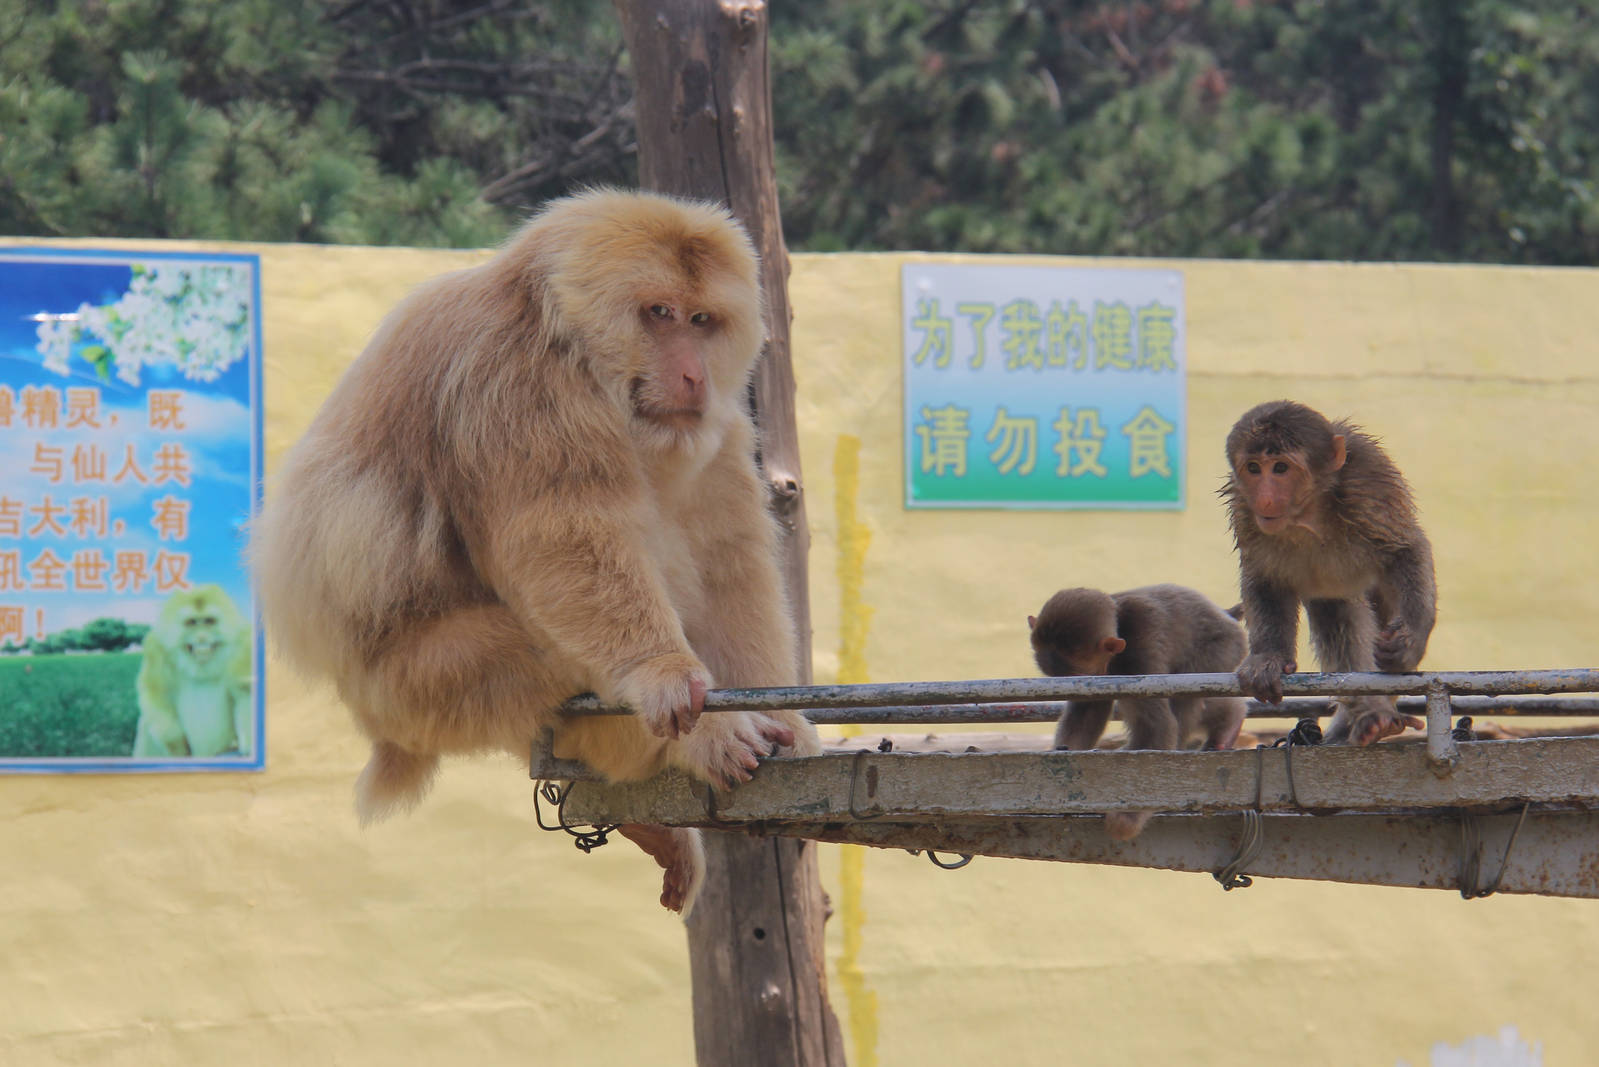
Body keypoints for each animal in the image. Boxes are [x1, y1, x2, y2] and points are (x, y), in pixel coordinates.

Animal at [133, 585, 254, 758]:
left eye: (209, 621)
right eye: (191, 622)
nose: (202, 637)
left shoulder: (245, 645)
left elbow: (244, 691)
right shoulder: (156, 648)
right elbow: (156, 694)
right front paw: (176, 745)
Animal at [249, 188, 820, 914]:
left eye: (701, 320)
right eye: (658, 314)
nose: (694, 374)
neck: (562, 334)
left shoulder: (714, 424)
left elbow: (728, 559)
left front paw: (781, 715)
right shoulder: (515, 379)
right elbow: (560, 535)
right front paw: (662, 671)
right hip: (412, 684)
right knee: (547, 647)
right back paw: (696, 743)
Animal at [1028, 583, 1248, 840]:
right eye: (1062, 680)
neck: (1121, 624)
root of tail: (1226, 614)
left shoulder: (1136, 656)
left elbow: (1158, 725)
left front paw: (1127, 818)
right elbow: (1088, 710)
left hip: (1223, 648)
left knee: (1185, 698)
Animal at [1222, 399, 1435, 747]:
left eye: (1280, 468)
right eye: (1254, 468)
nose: (1265, 499)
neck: (1310, 513)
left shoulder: (1369, 487)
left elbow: (1405, 548)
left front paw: (1410, 640)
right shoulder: (1245, 510)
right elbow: (1266, 578)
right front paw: (1268, 657)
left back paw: (1374, 715)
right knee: (1334, 608)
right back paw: (1369, 717)